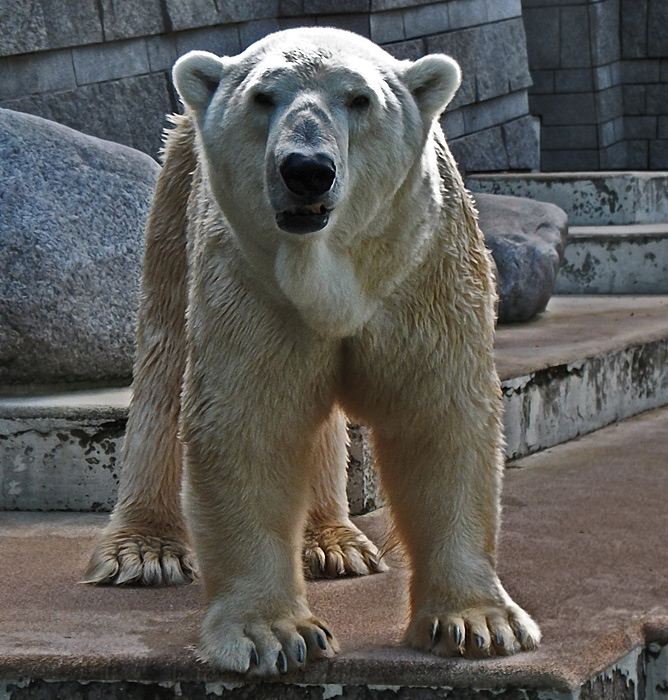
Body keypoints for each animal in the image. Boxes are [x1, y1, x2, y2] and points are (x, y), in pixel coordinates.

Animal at [85, 28, 544, 680]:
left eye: (360, 99)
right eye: (262, 96)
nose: (307, 170)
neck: (330, 270)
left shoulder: (424, 269)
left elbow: (439, 417)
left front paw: (478, 622)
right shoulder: (245, 277)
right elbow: (247, 423)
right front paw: (273, 635)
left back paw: (335, 543)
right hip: (175, 208)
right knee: (162, 368)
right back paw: (144, 550)